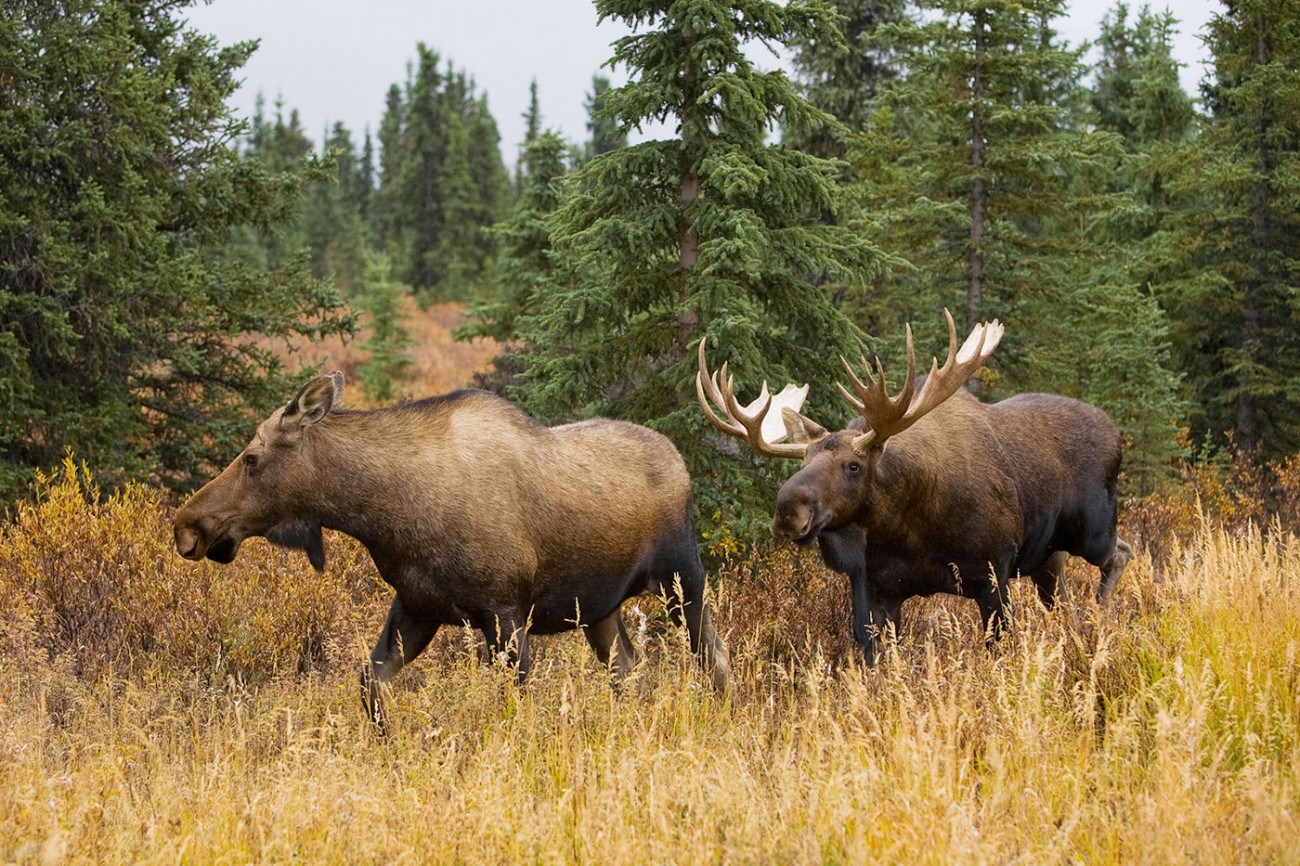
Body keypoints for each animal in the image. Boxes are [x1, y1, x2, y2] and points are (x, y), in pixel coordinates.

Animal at [172, 371, 733, 722]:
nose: (187, 525)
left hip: (683, 579)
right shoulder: (417, 606)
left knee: (716, 658)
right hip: (599, 609)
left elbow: (515, 706)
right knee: (628, 669)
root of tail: (681, 462)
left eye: (252, 458)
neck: (384, 514)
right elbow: (369, 683)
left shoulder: (505, 611)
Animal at [696, 313, 1133, 657]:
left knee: (1121, 553)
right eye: (803, 460)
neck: (908, 528)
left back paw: (1100, 617)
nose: (789, 509)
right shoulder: (876, 591)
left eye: (853, 465)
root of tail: (1116, 431)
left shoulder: (993, 572)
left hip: (1092, 530)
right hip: (1045, 558)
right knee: (1064, 594)